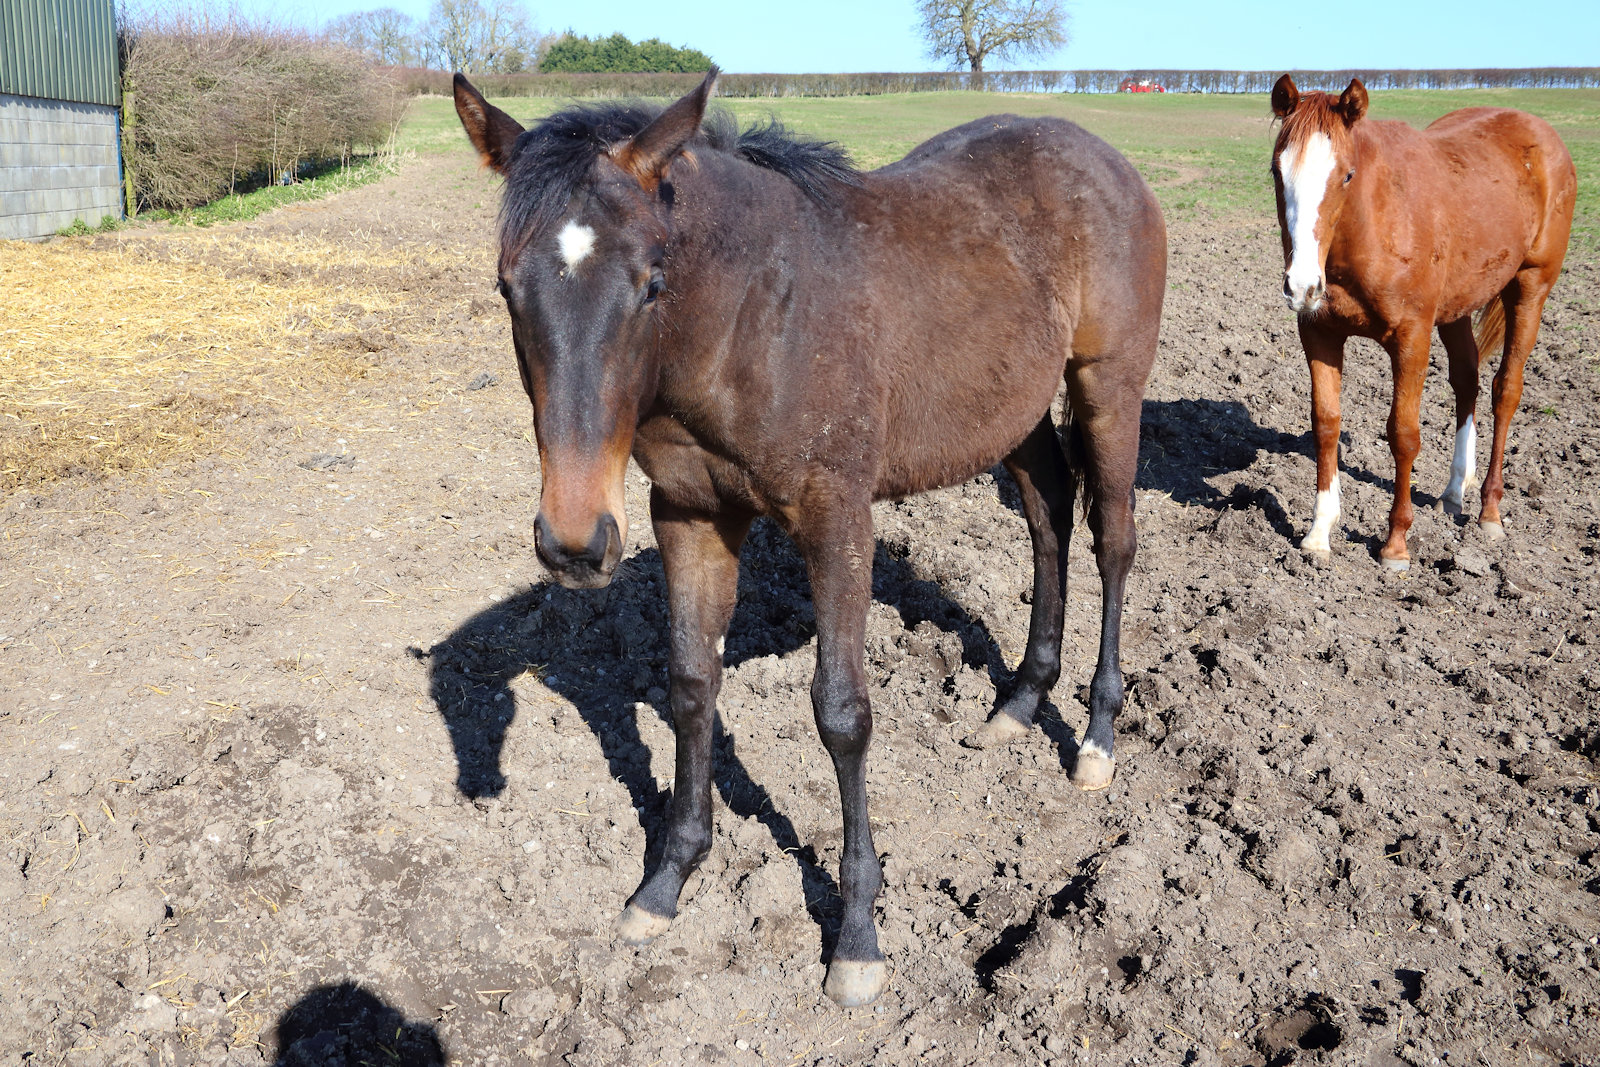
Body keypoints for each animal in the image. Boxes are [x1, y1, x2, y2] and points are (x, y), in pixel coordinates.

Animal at [452, 68, 1165, 1006]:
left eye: (651, 282)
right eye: (508, 288)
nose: (575, 542)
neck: (750, 320)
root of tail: (1109, 159)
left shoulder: (838, 516)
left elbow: (842, 712)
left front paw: (858, 933)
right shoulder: (689, 514)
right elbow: (690, 686)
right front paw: (666, 880)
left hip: (1107, 384)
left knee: (1112, 540)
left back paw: (1095, 737)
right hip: (1012, 409)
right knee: (1048, 515)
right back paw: (1018, 701)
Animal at [1269, 74, 1575, 569]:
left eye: (1346, 175)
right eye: (1278, 173)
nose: (1301, 285)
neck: (1373, 222)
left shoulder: (1411, 337)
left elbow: (1404, 434)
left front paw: (1395, 543)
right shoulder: (1319, 333)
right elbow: (1326, 423)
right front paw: (1319, 531)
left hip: (1531, 289)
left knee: (1505, 391)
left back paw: (1490, 510)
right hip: (1457, 307)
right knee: (1467, 380)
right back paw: (1454, 491)